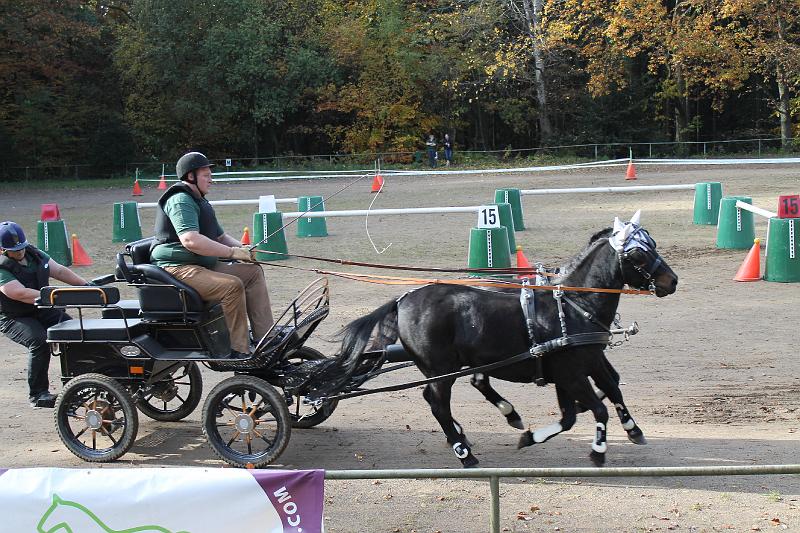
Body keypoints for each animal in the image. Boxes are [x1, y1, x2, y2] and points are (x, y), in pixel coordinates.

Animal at [316, 210, 680, 468]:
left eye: (653, 244)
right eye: (638, 255)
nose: (672, 281)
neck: (574, 304)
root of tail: (404, 299)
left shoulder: (581, 365)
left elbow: (599, 397)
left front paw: (631, 429)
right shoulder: (571, 373)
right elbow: (596, 410)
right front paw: (598, 450)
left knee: (442, 396)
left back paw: (483, 428)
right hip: (440, 369)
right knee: (438, 404)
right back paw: (464, 452)